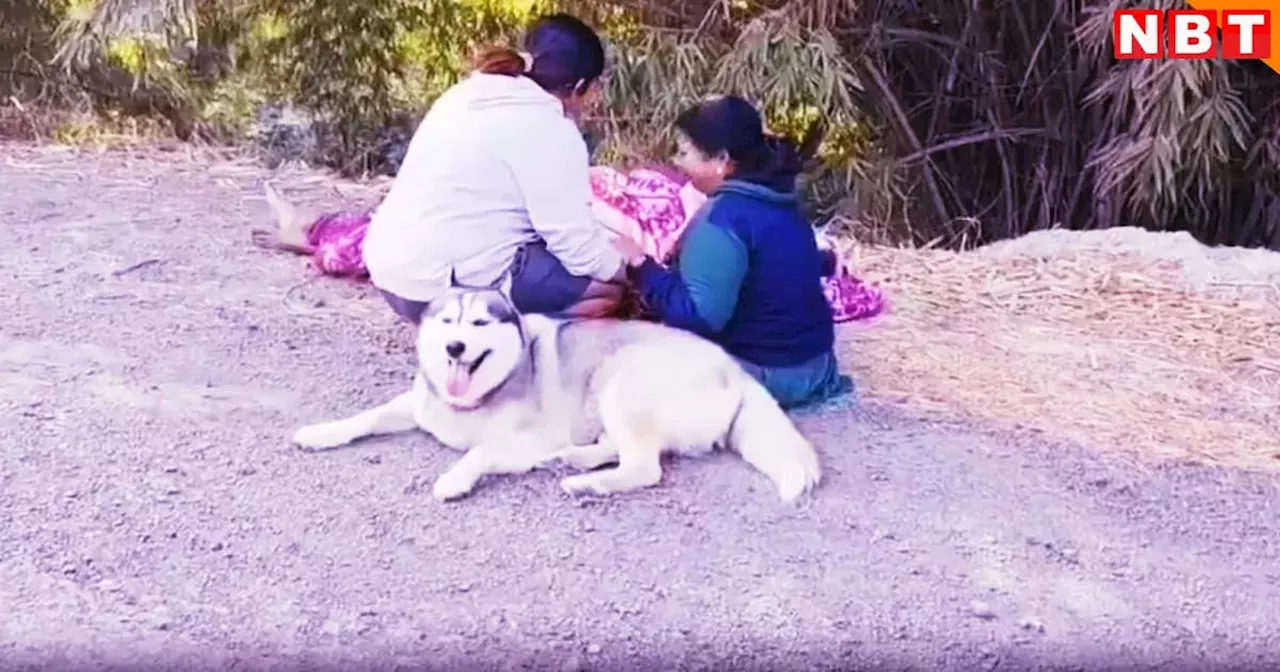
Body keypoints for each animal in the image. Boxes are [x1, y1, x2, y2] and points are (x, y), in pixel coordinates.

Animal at [293, 272, 819, 501]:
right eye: (447, 321)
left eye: (480, 323)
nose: (456, 348)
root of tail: (735, 368)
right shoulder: (420, 403)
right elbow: (367, 417)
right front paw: (321, 432)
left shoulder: (523, 441)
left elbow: (479, 452)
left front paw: (455, 479)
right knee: (618, 449)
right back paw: (574, 460)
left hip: (621, 383)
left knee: (644, 467)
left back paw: (586, 482)